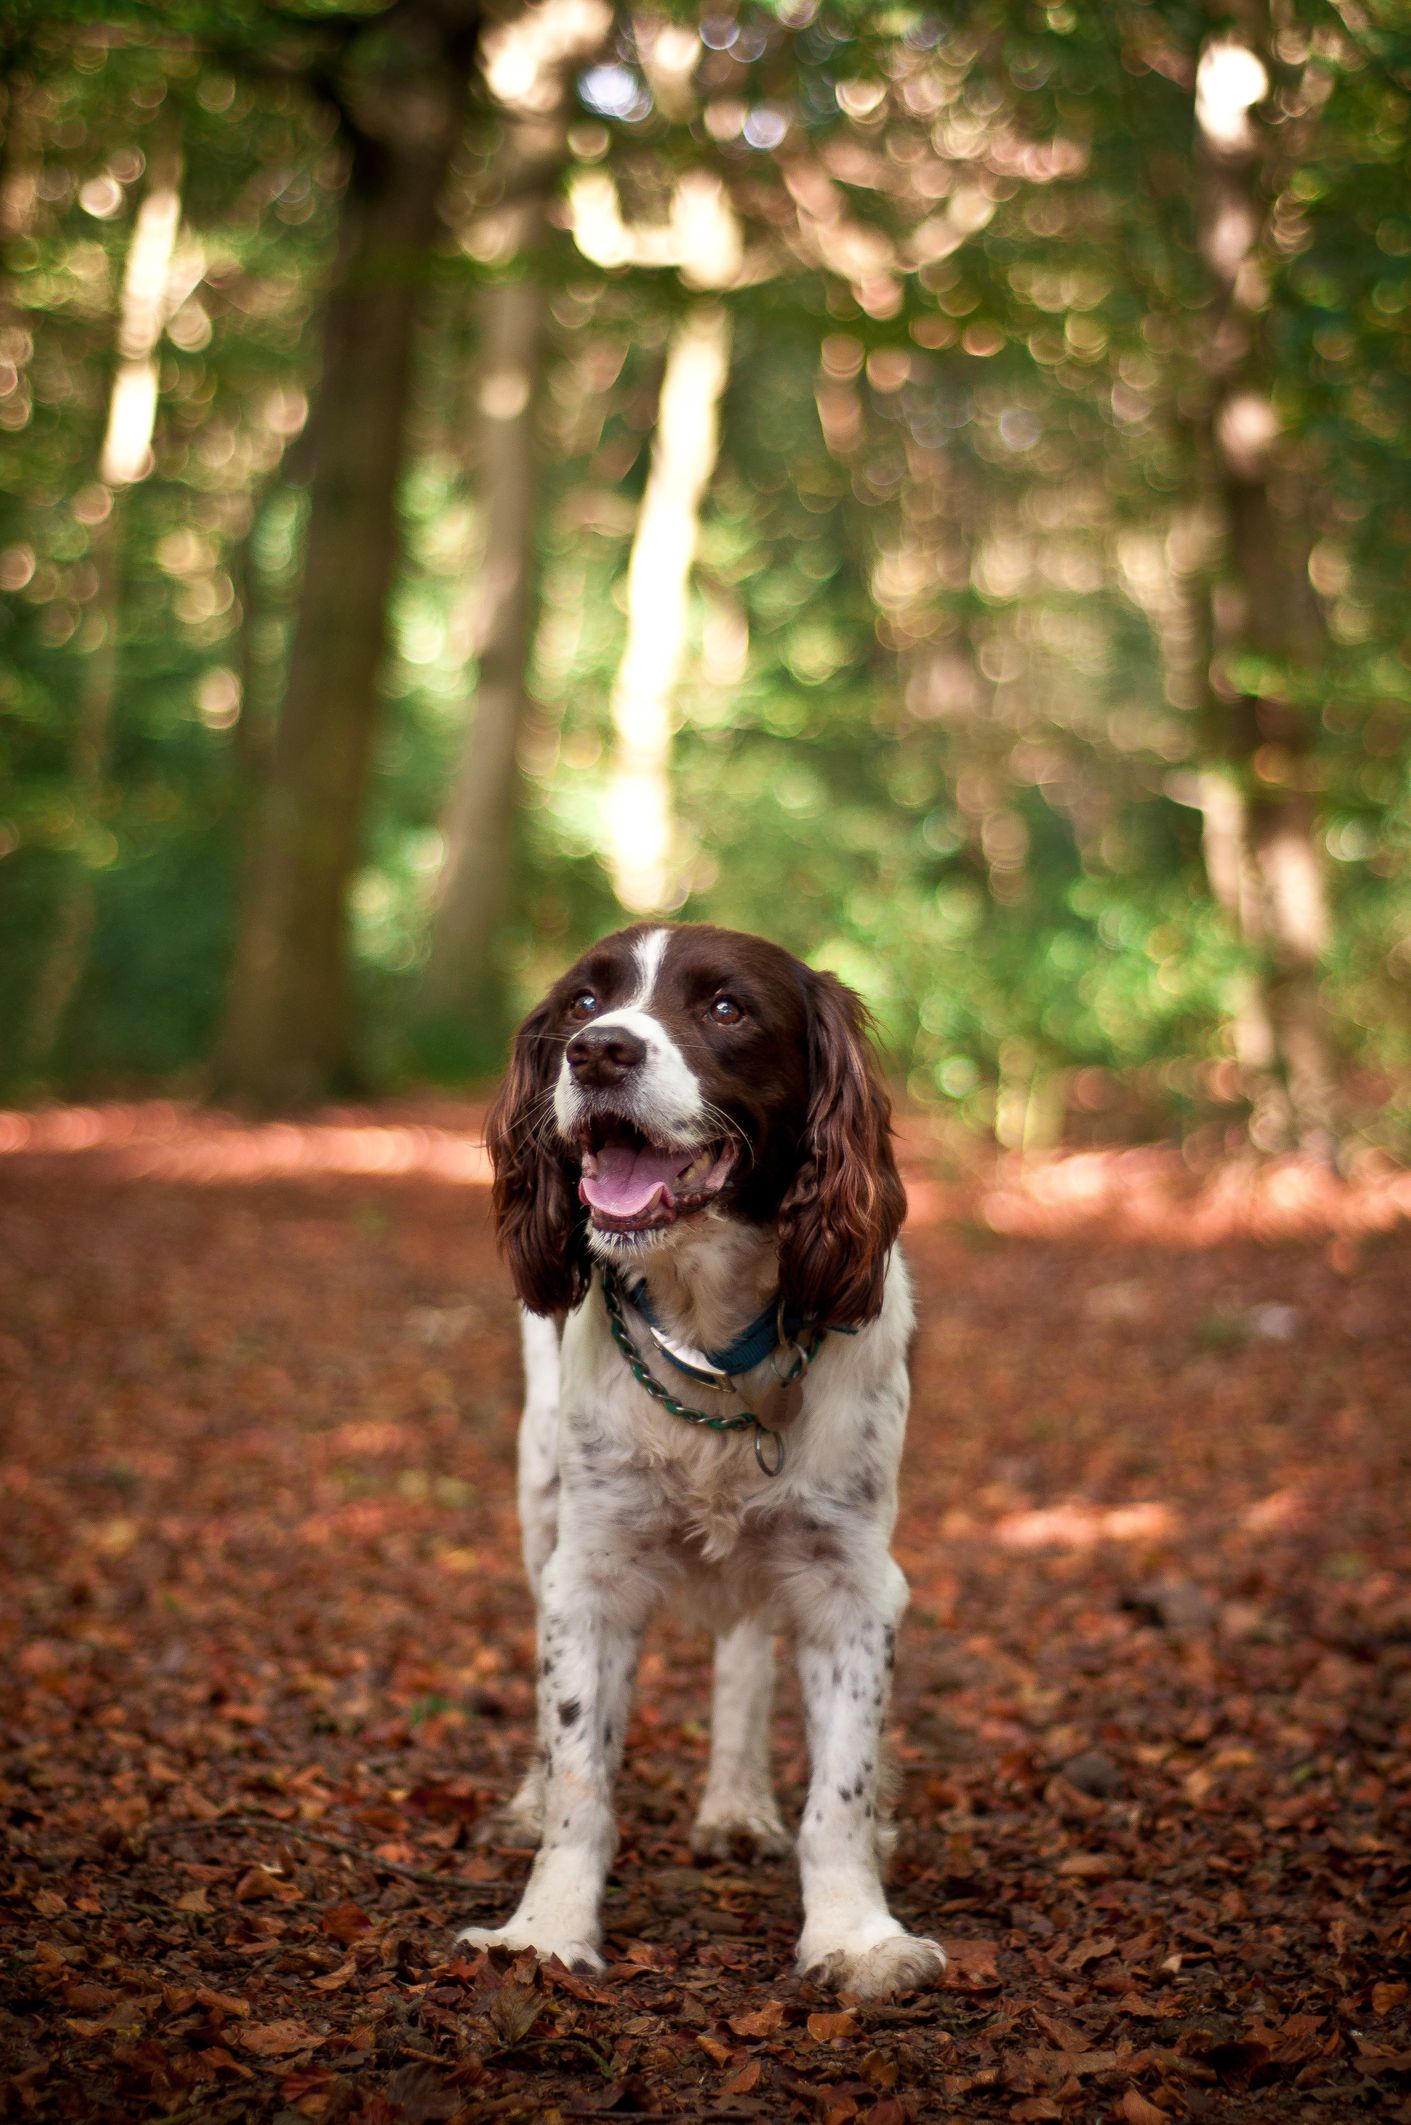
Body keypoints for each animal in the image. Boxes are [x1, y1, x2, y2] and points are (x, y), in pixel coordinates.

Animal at [461, 922, 947, 1997]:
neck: (712, 1336)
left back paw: (735, 1802)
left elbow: (840, 1790)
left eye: (726, 1008)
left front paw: (855, 1934)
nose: (598, 1051)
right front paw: (543, 1929)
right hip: (538, 1495)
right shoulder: (588, 1572)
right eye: (581, 1001)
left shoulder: (851, 1579)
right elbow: (578, 1771)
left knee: (744, 1659)